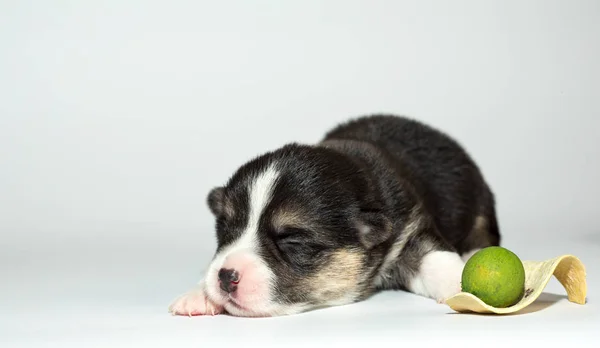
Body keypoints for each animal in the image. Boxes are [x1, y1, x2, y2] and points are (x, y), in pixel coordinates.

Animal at [166, 115, 500, 318]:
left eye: (293, 241)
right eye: (225, 230)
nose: (226, 276)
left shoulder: (411, 226)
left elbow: (435, 257)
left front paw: (462, 284)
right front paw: (200, 294)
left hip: (481, 208)